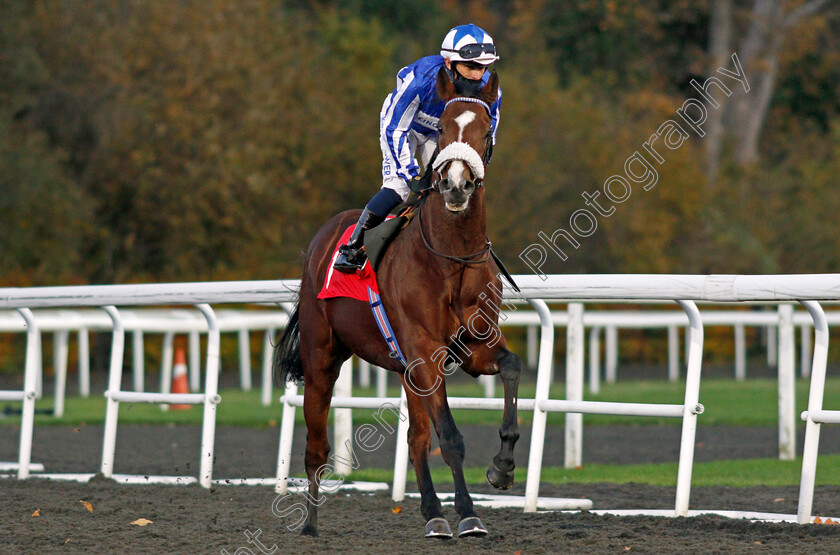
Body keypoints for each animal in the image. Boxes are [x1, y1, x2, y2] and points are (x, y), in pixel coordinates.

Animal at [276, 66, 520, 540]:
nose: (456, 186)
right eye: (442, 129)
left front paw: (502, 466)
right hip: (322, 358)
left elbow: (512, 367)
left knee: (415, 439)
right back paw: (310, 524)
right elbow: (451, 437)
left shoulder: (472, 348)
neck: (451, 257)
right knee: (316, 447)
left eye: (486, 131)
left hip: (408, 373)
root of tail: (322, 240)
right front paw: (469, 514)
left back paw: (432, 513)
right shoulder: (425, 351)